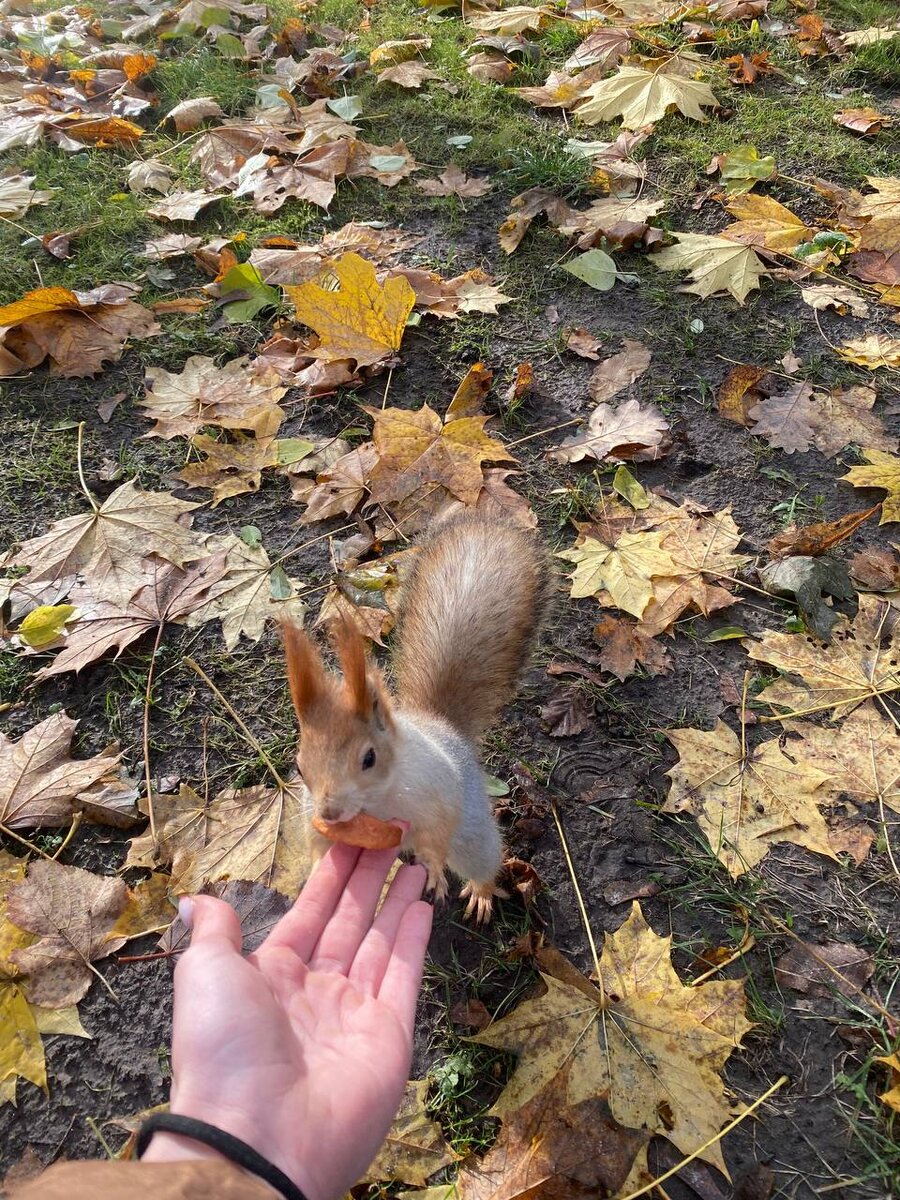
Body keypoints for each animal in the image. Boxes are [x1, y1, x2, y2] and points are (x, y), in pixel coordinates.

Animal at [282, 511, 549, 921]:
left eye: (369, 758)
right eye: (298, 766)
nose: (330, 813)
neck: (375, 803)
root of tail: (444, 727)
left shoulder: (435, 795)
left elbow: (437, 835)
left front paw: (436, 872)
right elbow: (317, 845)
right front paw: (314, 872)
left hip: (472, 835)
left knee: (482, 859)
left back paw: (481, 892)